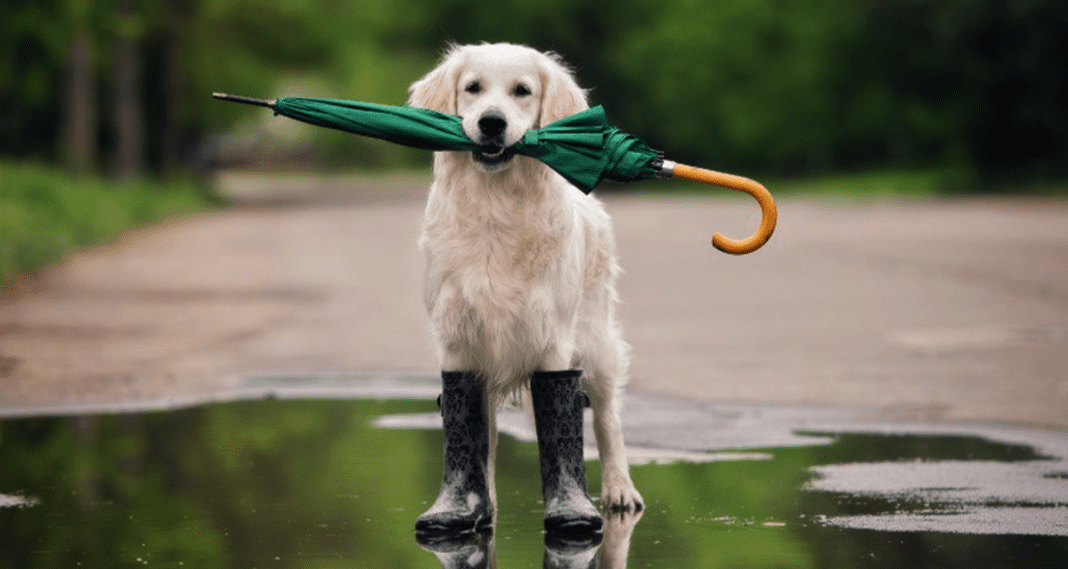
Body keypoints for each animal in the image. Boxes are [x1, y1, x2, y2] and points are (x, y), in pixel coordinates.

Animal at [407, 43, 640, 531]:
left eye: (522, 91)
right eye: (472, 88)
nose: (491, 123)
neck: (496, 205)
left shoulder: (552, 337)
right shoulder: (458, 338)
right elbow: (474, 434)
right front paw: (468, 508)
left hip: (597, 341)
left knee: (607, 419)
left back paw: (619, 489)